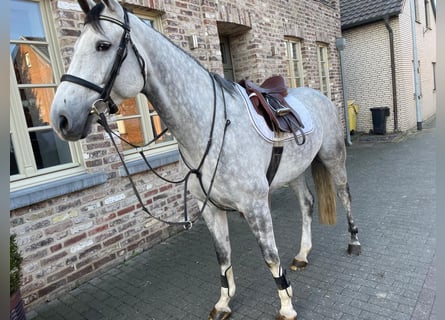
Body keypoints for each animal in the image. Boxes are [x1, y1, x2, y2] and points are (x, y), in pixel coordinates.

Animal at [49, 1, 360, 318]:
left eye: (103, 45)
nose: (61, 118)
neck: (212, 130)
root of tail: (318, 95)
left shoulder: (256, 206)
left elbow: (270, 256)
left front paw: (286, 306)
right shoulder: (209, 207)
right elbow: (223, 256)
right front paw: (224, 302)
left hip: (333, 158)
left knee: (344, 194)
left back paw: (353, 242)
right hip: (295, 171)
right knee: (307, 204)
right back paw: (302, 255)